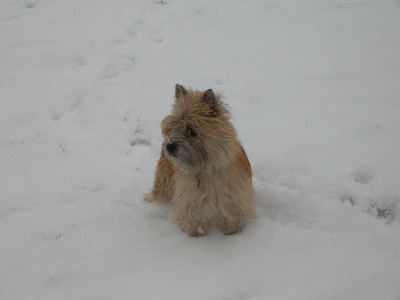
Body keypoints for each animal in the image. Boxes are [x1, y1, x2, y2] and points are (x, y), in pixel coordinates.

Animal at [144, 84, 256, 237]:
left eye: (191, 130)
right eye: (172, 127)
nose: (169, 146)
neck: (206, 170)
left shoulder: (232, 204)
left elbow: (231, 224)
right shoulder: (190, 205)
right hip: (164, 183)